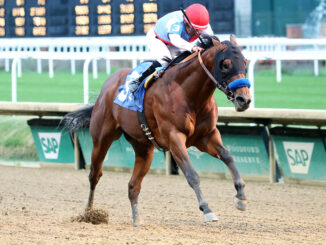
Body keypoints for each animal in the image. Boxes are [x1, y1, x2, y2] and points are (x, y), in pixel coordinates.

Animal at [63, 34, 252, 226]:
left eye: (244, 61)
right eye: (225, 64)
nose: (244, 100)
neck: (188, 93)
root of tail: (108, 85)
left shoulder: (207, 136)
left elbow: (228, 156)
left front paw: (241, 197)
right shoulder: (174, 137)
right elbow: (192, 174)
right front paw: (207, 209)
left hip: (144, 148)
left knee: (133, 185)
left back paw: (136, 219)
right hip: (102, 138)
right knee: (95, 174)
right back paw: (89, 213)